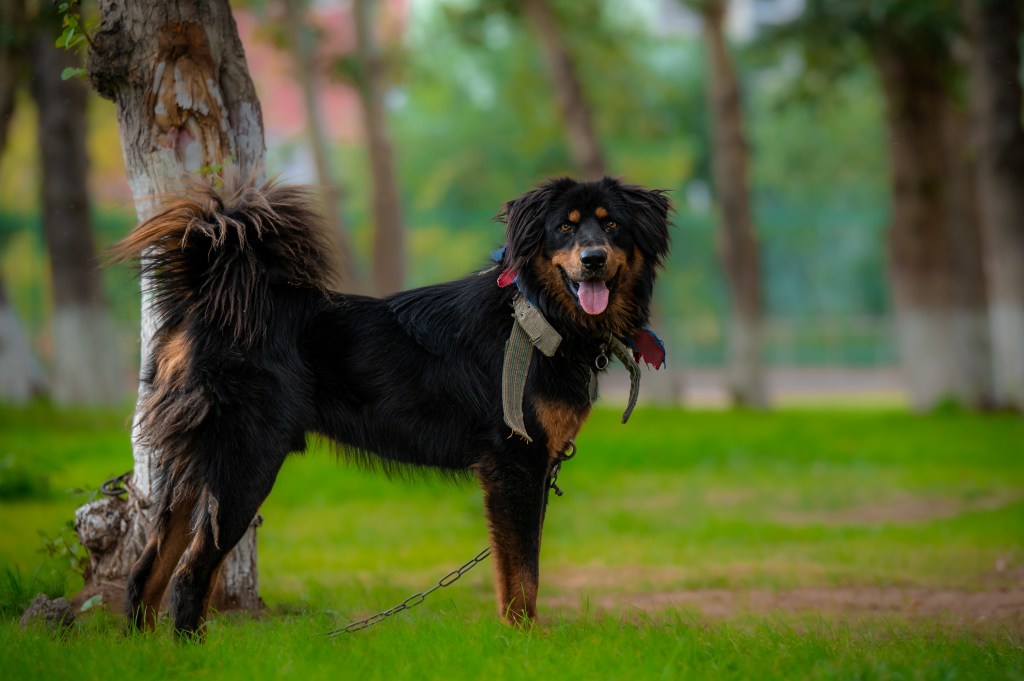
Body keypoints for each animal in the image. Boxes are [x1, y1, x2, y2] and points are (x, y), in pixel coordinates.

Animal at [114, 173, 671, 634]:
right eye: (563, 229)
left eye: (613, 225)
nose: (593, 259)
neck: (538, 314)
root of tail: (207, 298)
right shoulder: (516, 463)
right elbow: (522, 571)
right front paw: (527, 640)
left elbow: (517, 565)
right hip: (243, 464)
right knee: (190, 574)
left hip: (187, 470)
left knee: (147, 573)